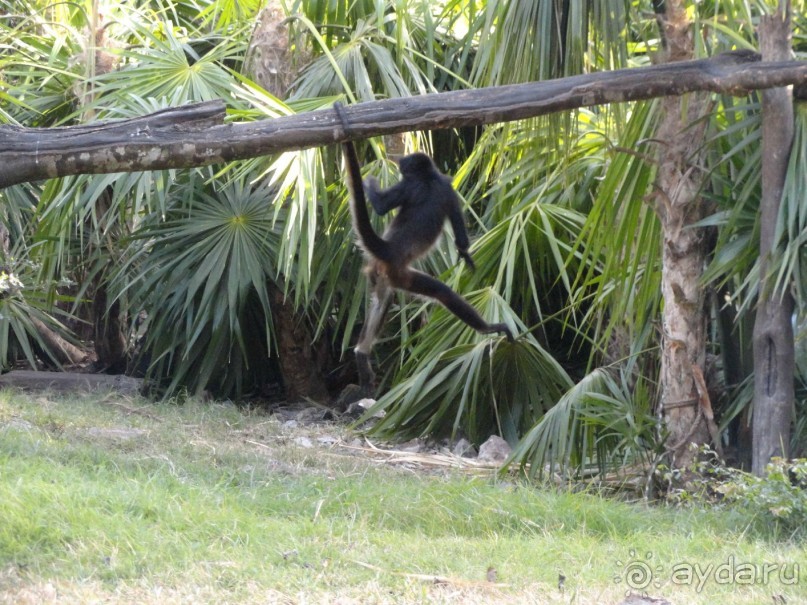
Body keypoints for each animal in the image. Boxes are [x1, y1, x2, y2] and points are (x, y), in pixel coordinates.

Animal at [332, 102, 512, 394]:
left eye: (406, 164)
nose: (400, 163)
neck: (429, 177)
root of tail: (388, 248)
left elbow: (381, 207)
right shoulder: (447, 188)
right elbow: (459, 236)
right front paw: (465, 254)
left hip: (383, 274)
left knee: (383, 300)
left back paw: (361, 353)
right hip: (400, 274)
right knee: (442, 292)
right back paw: (486, 328)